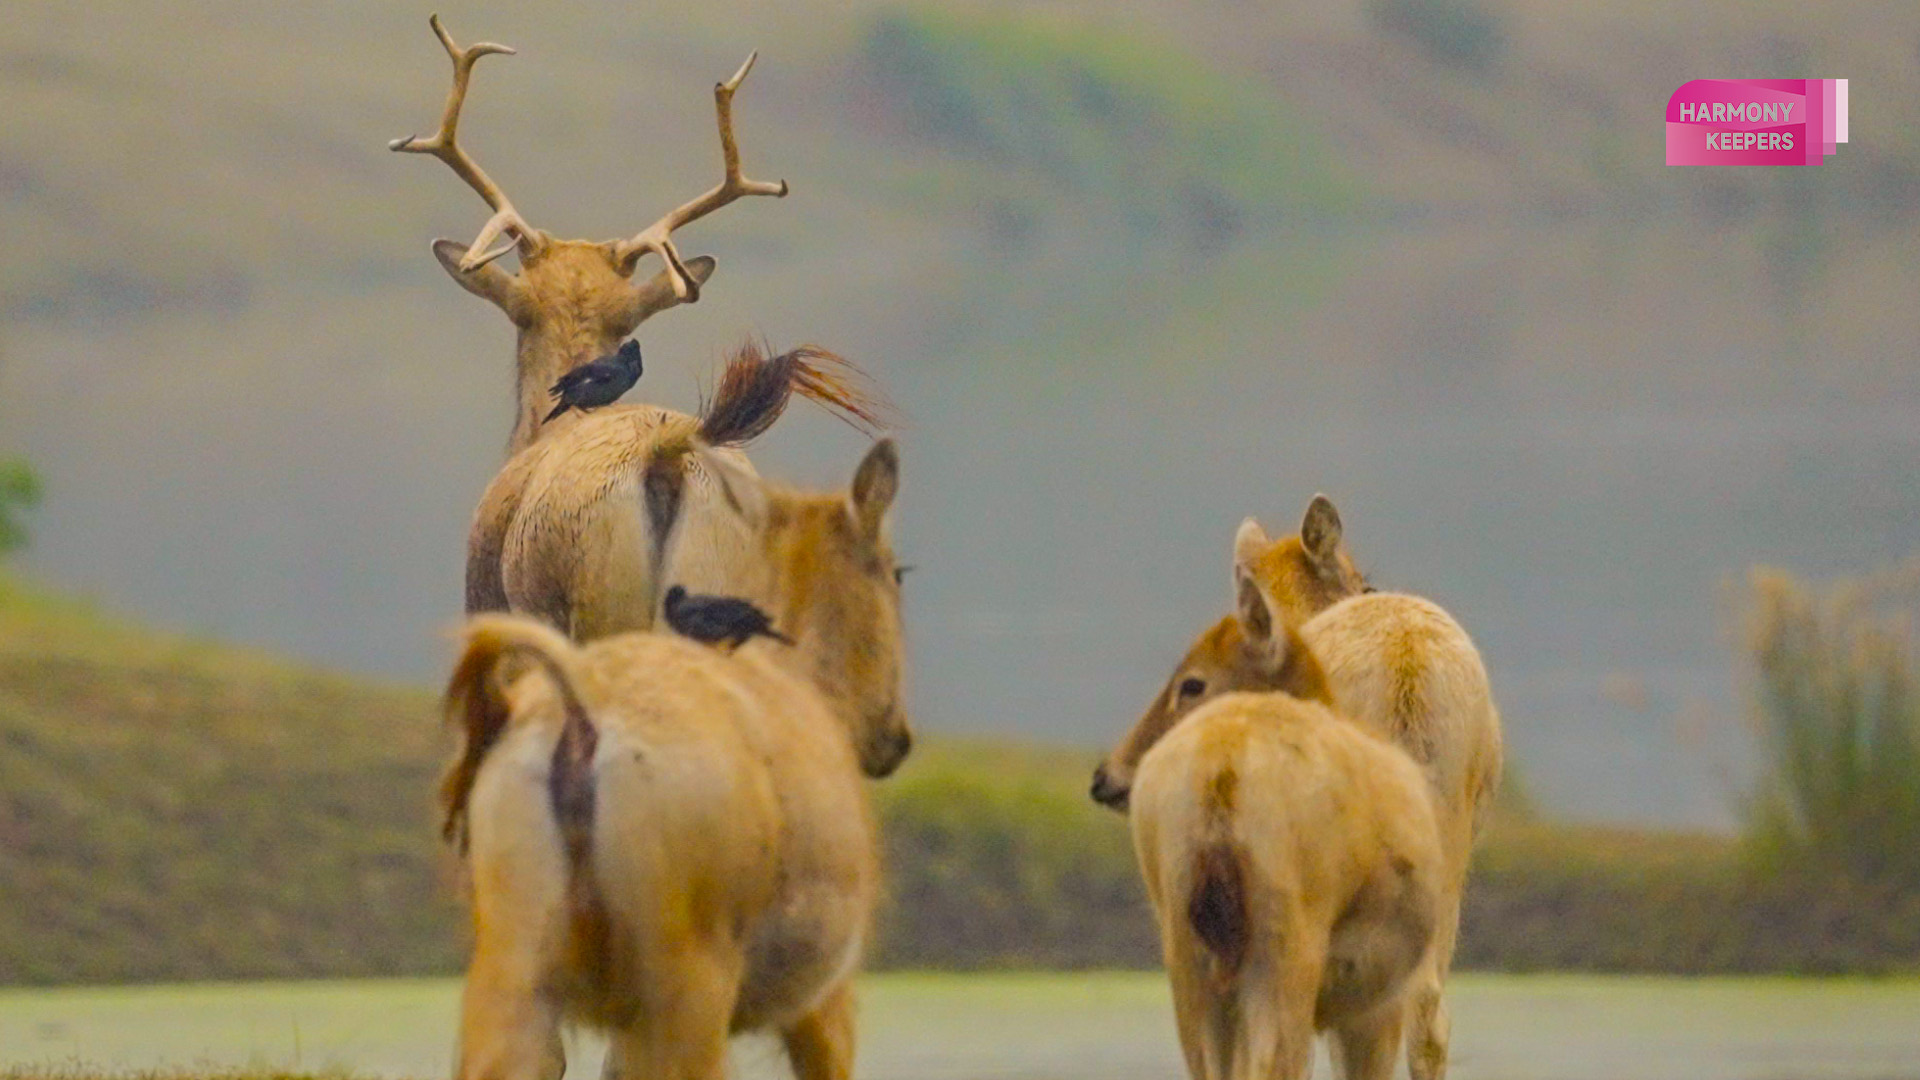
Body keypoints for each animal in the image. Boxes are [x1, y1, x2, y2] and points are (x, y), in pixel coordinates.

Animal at [445, 432, 910, 1076]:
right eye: (899, 572)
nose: (895, 738)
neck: (810, 680)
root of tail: (580, 722)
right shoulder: (829, 994)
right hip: (684, 984)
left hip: (515, 968)